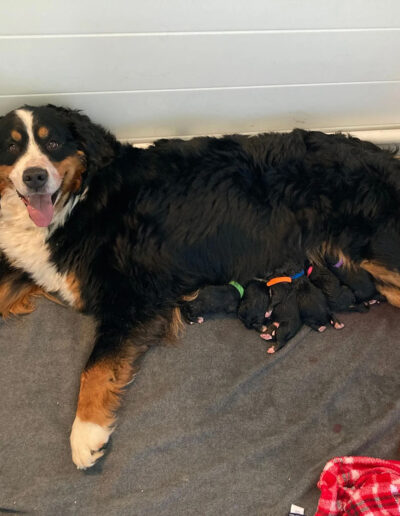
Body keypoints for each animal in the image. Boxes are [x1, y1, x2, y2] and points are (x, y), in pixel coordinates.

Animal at [0, 104, 400, 468]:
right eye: (12, 146)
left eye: (53, 143)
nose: (35, 176)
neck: (82, 199)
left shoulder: (133, 294)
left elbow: (95, 365)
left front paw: (85, 433)